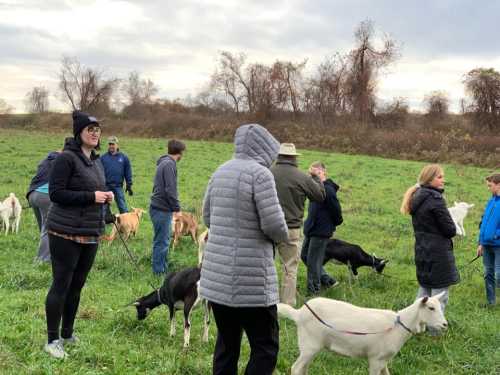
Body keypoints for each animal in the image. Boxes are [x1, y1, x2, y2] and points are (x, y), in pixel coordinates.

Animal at [280, 294, 448, 375]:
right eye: (431, 308)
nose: (445, 325)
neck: (399, 325)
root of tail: (299, 313)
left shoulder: (384, 359)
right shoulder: (375, 359)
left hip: (311, 346)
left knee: (303, 368)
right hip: (310, 344)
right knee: (296, 368)